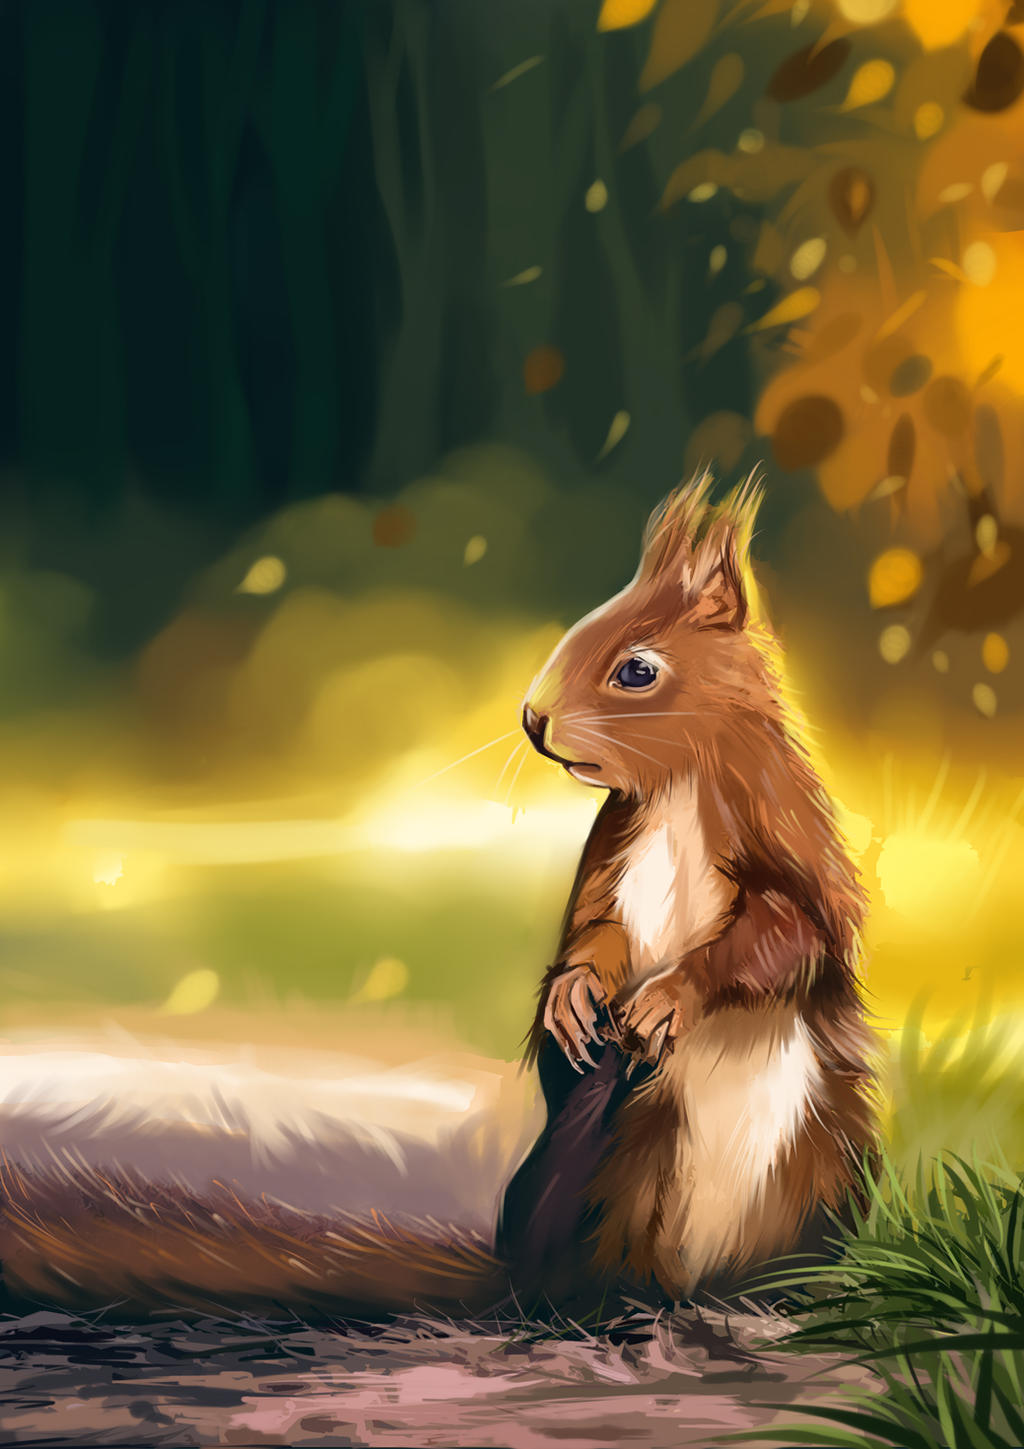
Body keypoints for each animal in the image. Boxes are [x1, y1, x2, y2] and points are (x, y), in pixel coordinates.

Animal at [0, 471, 875, 1319]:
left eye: (638, 669)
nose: (532, 718)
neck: (676, 788)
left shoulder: (786, 833)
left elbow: (788, 935)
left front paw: (666, 997)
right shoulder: (613, 852)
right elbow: (596, 932)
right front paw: (572, 995)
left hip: (818, 1159)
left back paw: (783, 1289)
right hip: (624, 1166)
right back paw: (618, 1302)